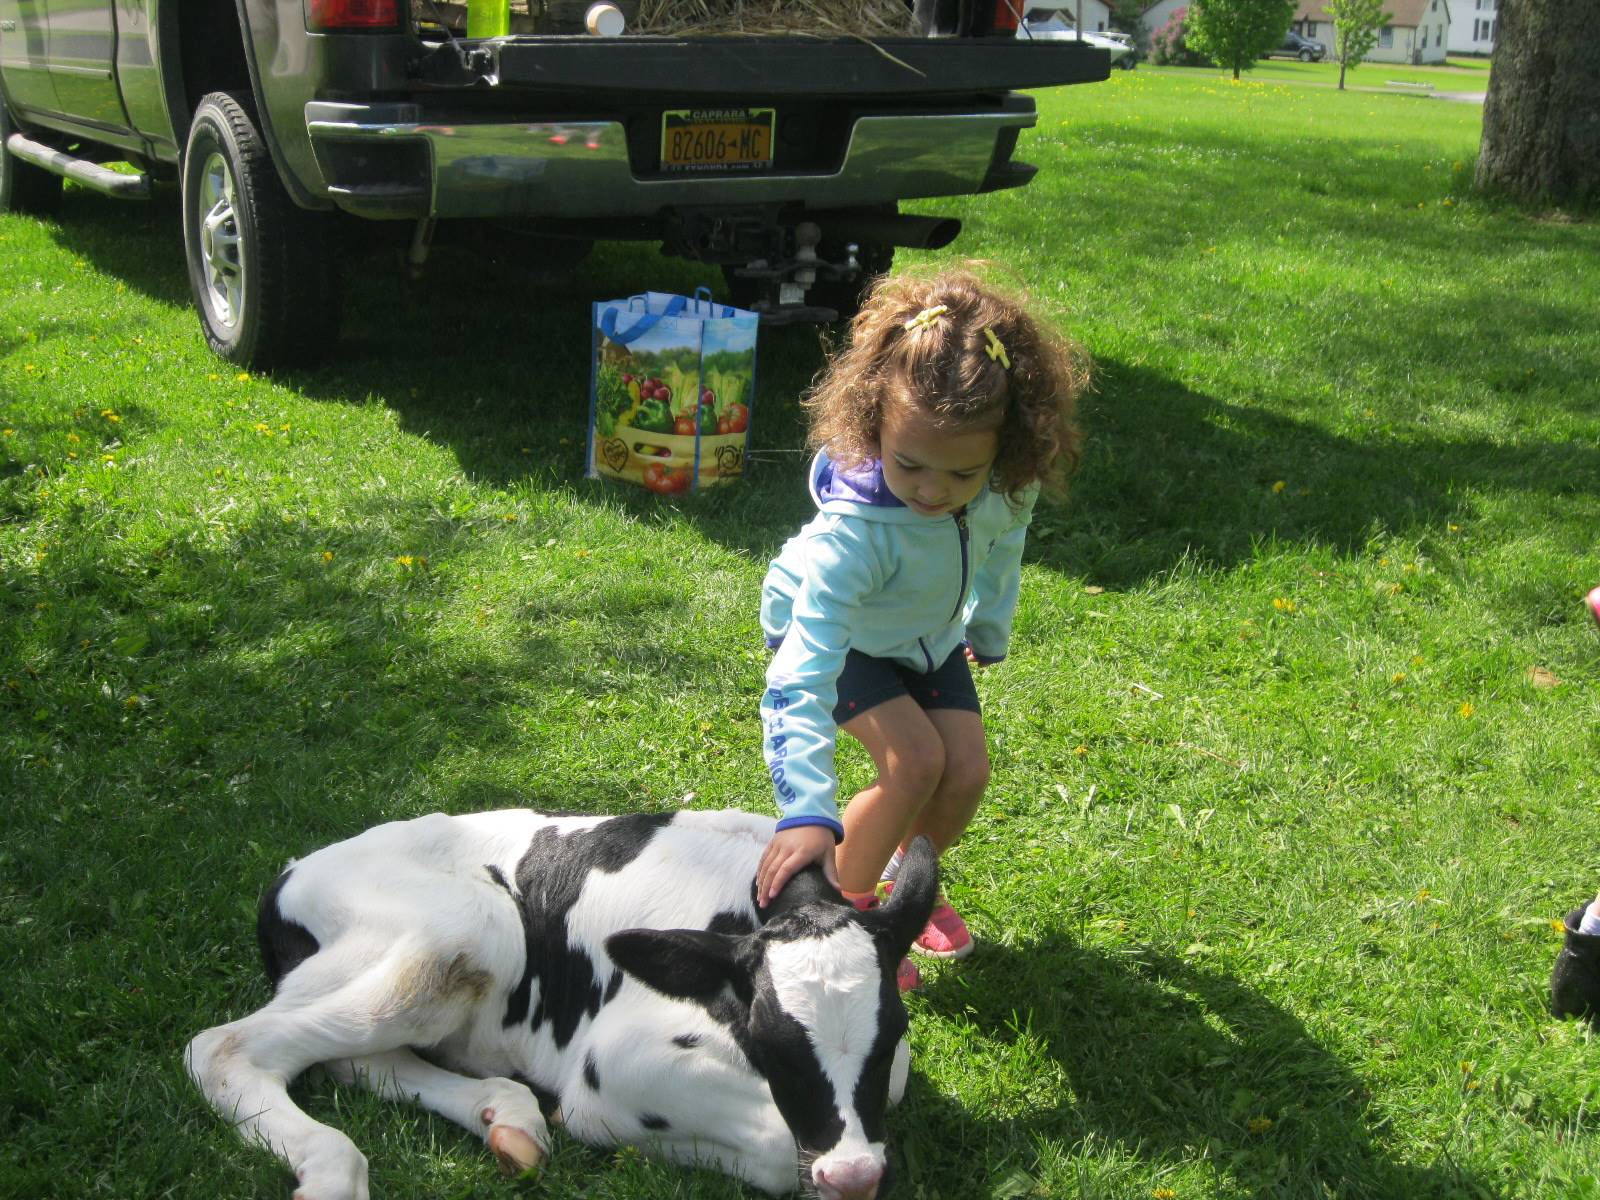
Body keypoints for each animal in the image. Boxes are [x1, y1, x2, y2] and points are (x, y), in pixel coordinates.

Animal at [184, 809, 934, 1200]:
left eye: (890, 1034)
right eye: (773, 1043)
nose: (854, 1175)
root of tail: (290, 871)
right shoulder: (614, 1066)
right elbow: (781, 1151)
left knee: (352, 1059)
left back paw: (507, 1118)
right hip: (469, 927)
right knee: (222, 1047)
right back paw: (332, 1172)